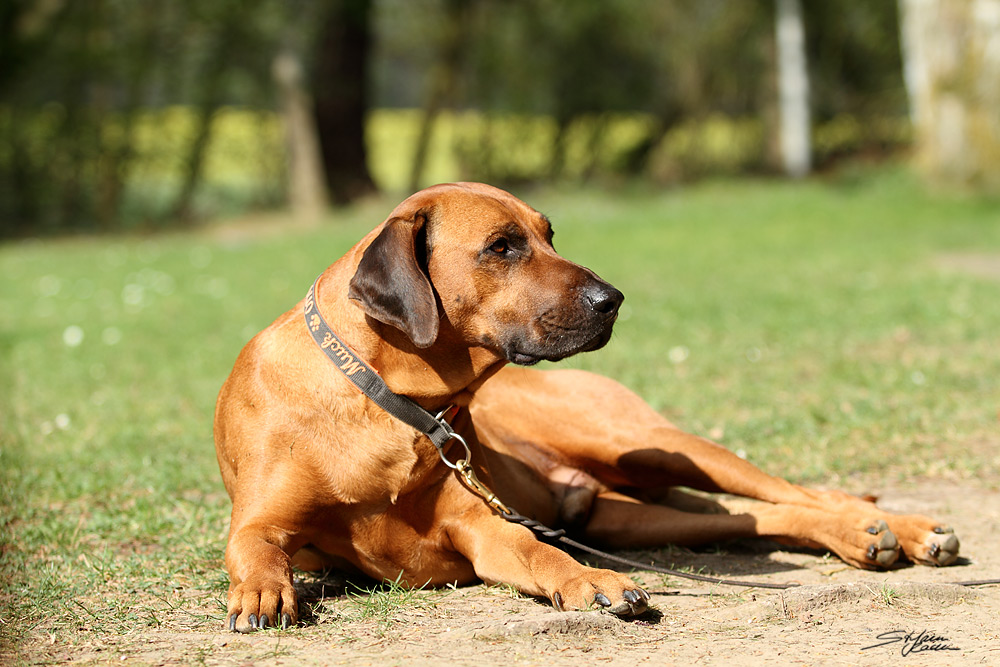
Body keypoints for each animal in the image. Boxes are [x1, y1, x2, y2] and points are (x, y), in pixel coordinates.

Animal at [214, 182, 960, 632]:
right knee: (758, 518)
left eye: (549, 233)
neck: (388, 401)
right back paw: (866, 533)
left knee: (794, 491)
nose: (614, 299)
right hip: (632, 515)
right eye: (502, 246)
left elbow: (538, 552)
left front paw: (591, 582)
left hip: (651, 444)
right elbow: (252, 546)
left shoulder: (482, 528)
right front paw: (263, 591)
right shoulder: (260, 520)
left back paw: (897, 527)